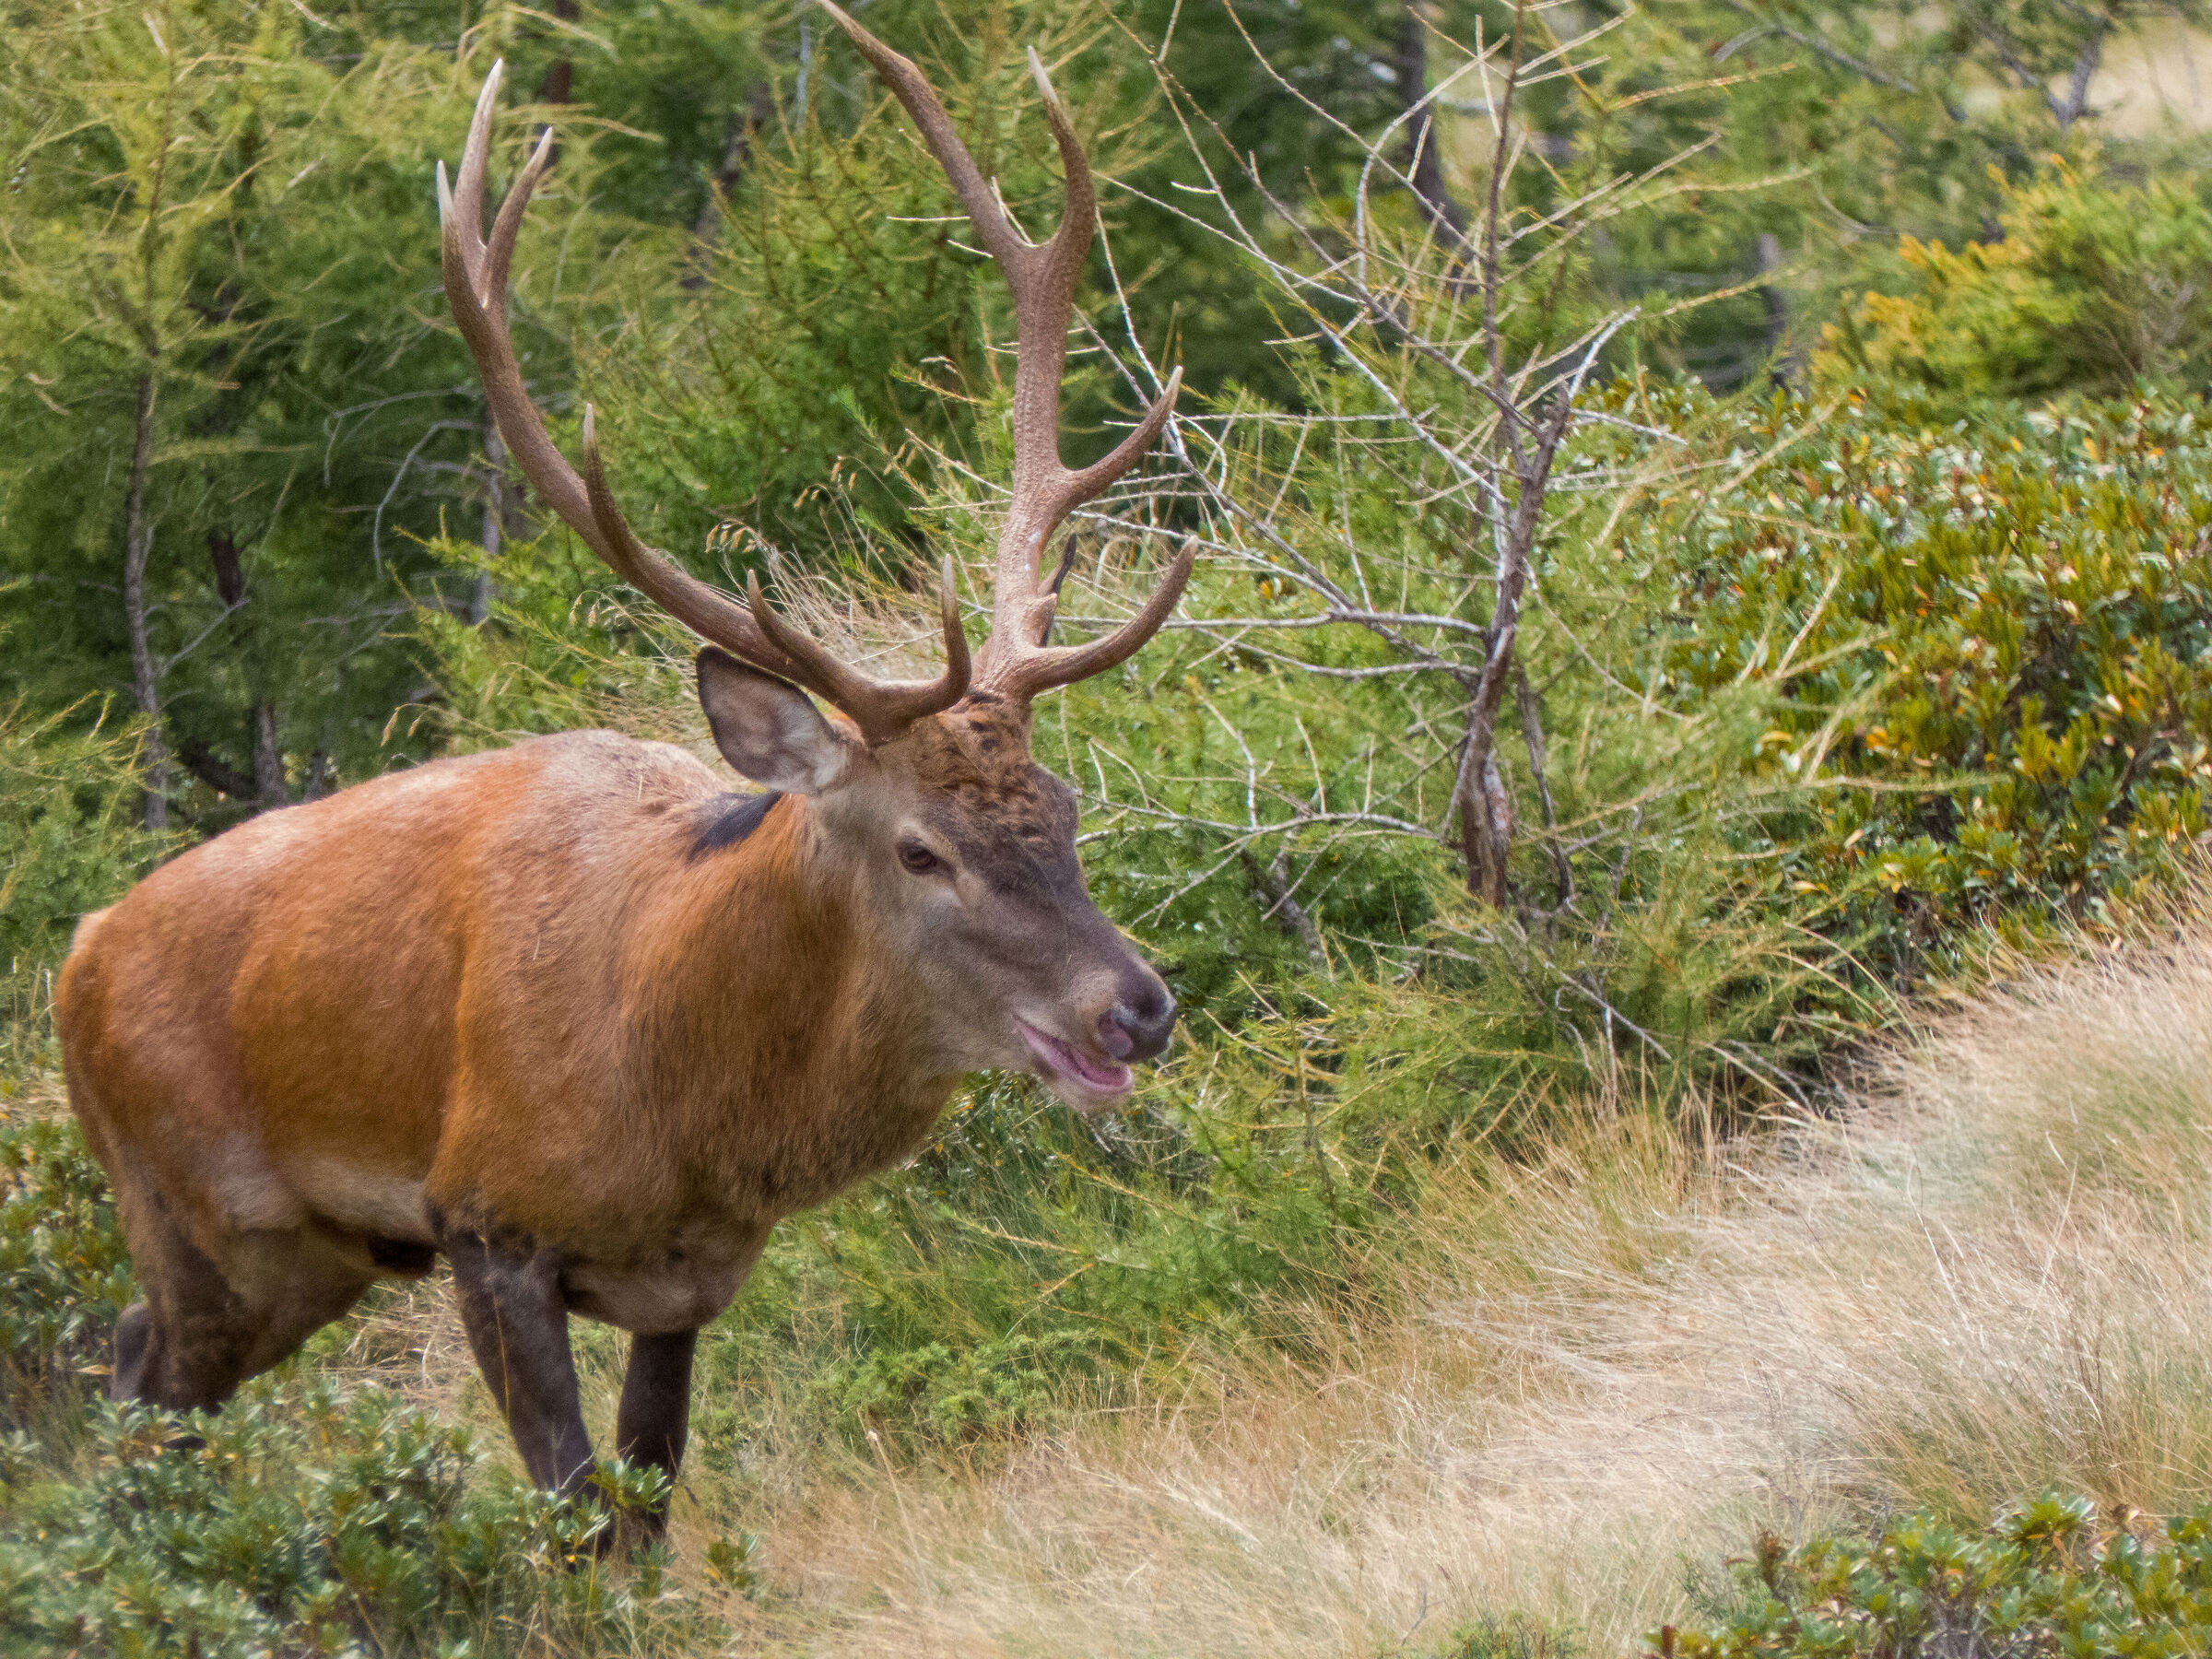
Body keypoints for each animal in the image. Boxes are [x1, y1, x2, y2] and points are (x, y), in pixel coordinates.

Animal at [56, 6, 1187, 1533]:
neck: (687, 1105)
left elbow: (646, 1512)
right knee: (135, 1397)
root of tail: (73, 956)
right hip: (193, 1213)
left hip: (304, 1257)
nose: (1138, 1007)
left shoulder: (690, 1278)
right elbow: (572, 1518)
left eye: (1064, 808)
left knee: (138, 1377)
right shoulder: (486, 1215)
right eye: (920, 848)